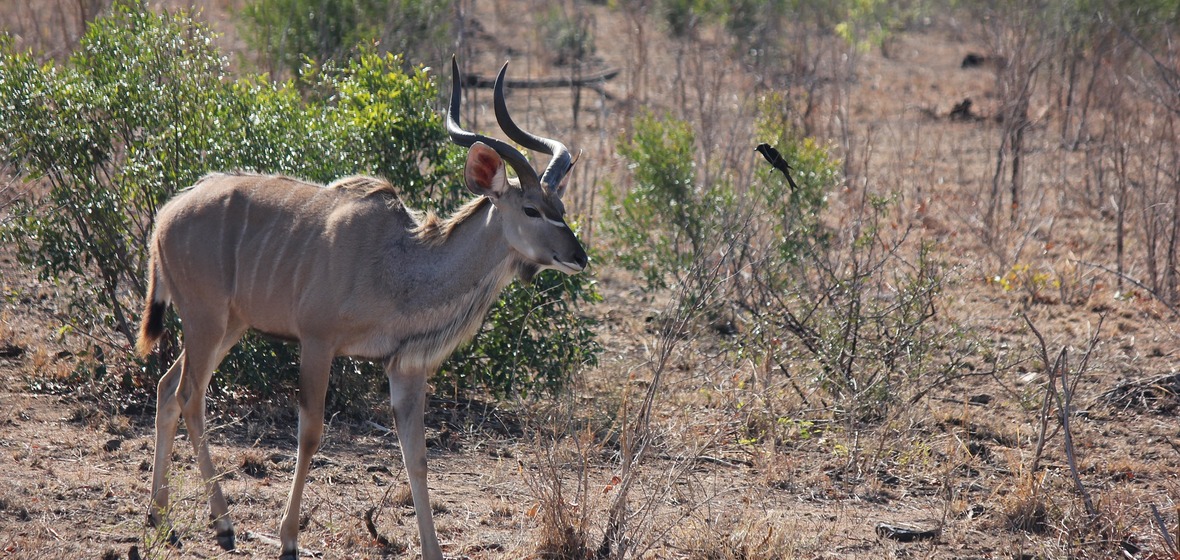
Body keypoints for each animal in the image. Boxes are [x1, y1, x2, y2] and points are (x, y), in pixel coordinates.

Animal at [135, 58, 587, 560]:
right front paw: (288, 539)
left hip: (227, 326)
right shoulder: (318, 342)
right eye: (531, 209)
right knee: (188, 396)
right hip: (206, 320)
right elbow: (310, 433)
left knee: (166, 387)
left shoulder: (405, 366)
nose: (579, 256)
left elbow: (417, 456)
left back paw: (161, 519)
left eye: (560, 204)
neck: (398, 262)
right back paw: (223, 525)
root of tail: (166, 215)